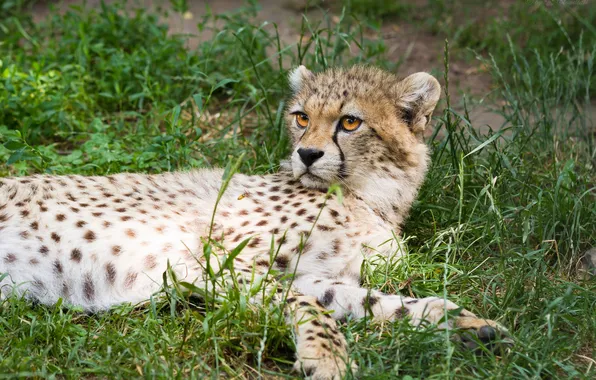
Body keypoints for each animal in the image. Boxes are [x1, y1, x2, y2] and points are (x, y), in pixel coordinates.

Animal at [2, 66, 510, 380]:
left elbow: (372, 301)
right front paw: (328, 357)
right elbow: (313, 309)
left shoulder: (313, 275)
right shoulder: (217, 262)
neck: (369, 198)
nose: (307, 154)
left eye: (349, 122)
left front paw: (467, 324)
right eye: (301, 117)